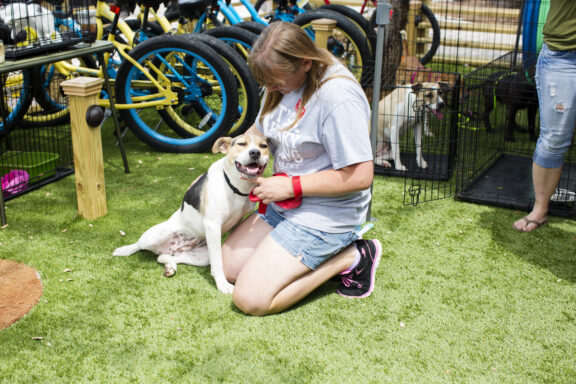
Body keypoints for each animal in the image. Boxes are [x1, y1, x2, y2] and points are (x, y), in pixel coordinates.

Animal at [112, 135, 270, 294]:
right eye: (241, 144)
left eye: (263, 146)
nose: (255, 153)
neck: (235, 187)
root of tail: (174, 247)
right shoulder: (213, 225)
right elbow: (218, 263)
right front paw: (222, 284)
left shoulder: (236, 222)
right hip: (153, 236)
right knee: (139, 244)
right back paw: (125, 249)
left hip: (201, 256)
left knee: (164, 257)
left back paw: (170, 266)